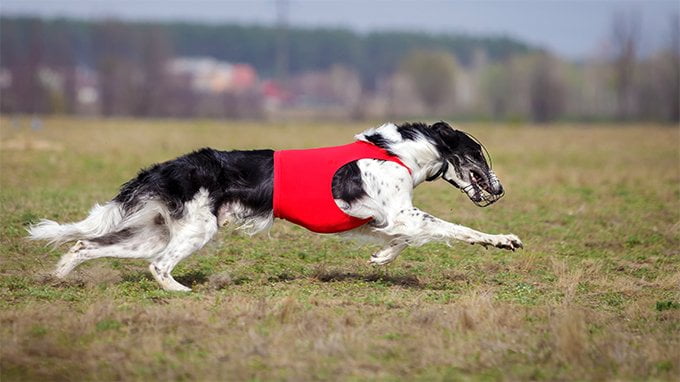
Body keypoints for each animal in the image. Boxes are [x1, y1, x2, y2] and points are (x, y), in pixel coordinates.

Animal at [29, 121, 524, 290]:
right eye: (479, 155)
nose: (500, 189)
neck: (398, 152)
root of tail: (168, 166)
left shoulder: (376, 218)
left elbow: (400, 239)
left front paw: (381, 257)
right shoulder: (399, 211)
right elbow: (457, 230)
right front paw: (504, 239)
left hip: (154, 232)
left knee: (84, 246)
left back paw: (59, 277)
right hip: (194, 231)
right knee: (158, 267)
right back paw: (183, 293)